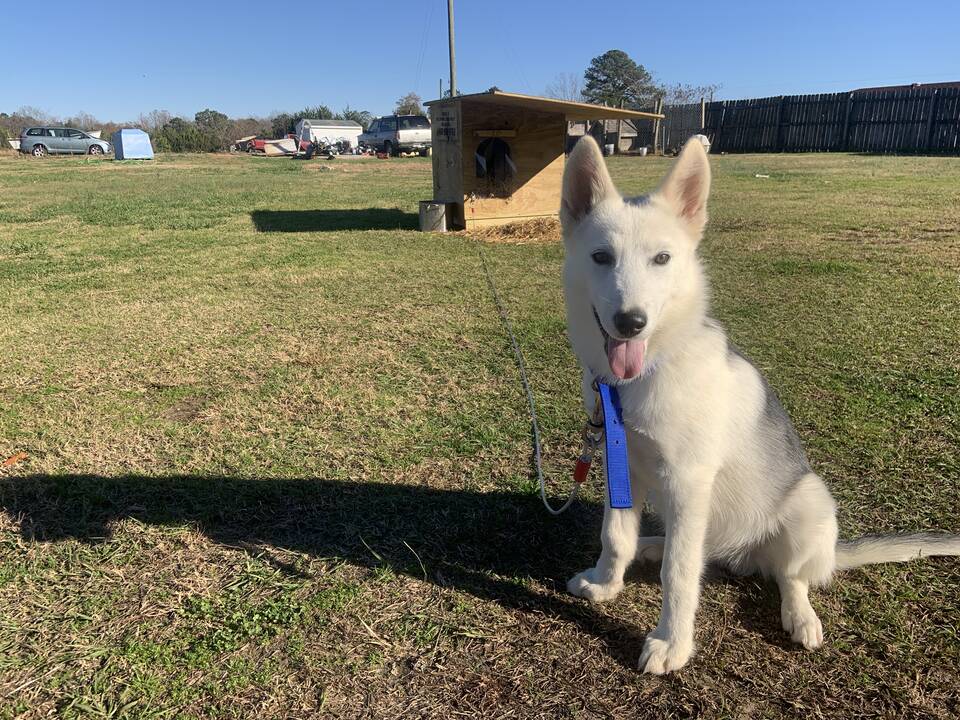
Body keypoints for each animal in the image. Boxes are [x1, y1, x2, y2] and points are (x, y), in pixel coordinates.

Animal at [564, 135, 960, 676]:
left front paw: (672, 642)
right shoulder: (621, 466)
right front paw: (608, 583)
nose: (631, 322)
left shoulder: (687, 480)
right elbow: (616, 536)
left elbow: (680, 573)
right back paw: (653, 546)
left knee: (788, 576)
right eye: (601, 257)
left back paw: (800, 615)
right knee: (698, 549)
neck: (649, 372)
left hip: (810, 502)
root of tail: (744, 555)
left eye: (662, 258)